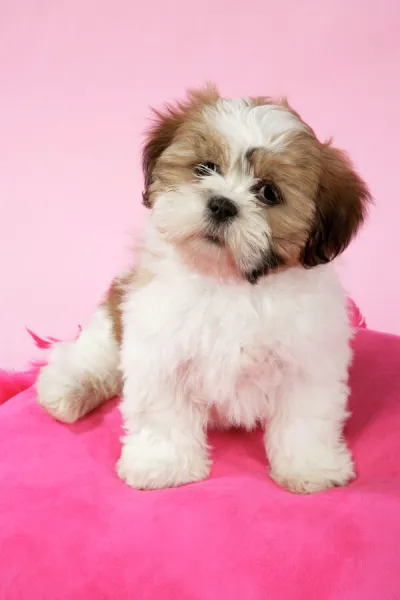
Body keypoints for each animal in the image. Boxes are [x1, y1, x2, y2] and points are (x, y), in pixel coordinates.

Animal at [36, 86, 370, 494]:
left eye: (268, 193)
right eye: (205, 168)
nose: (222, 204)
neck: (228, 282)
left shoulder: (308, 357)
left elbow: (307, 416)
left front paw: (311, 467)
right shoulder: (159, 347)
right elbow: (162, 411)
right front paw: (163, 465)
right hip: (112, 320)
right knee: (90, 355)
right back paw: (67, 388)